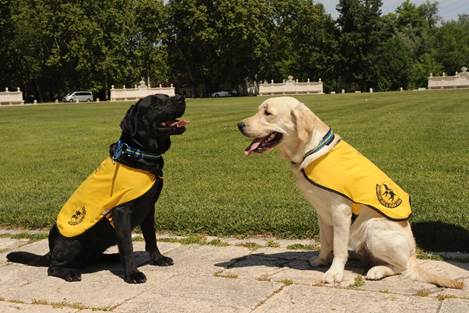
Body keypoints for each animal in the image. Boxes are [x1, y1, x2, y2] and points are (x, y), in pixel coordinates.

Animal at [6, 93, 186, 282]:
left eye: (167, 96)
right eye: (156, 104)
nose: (181, 97)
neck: (138, 152)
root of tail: (51, 250)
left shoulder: (149, 208)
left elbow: (151, 237)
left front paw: (158, 259)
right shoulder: (121, 212)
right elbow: (127, 245)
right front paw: (132, 274)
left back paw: (113, 257)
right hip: (74, 241)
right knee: (53, 267)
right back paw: (69, 272)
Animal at [239, 97, 462, 288]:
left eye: (267, 113)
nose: (239, 125)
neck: (311, 150)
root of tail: (414, 254)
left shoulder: (340, 210)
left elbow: (338, 247)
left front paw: (334, 273)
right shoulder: (322, 213)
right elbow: (326, 242)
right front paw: (321, 261)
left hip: (373, 228)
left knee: (401, 268)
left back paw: (377, 270)